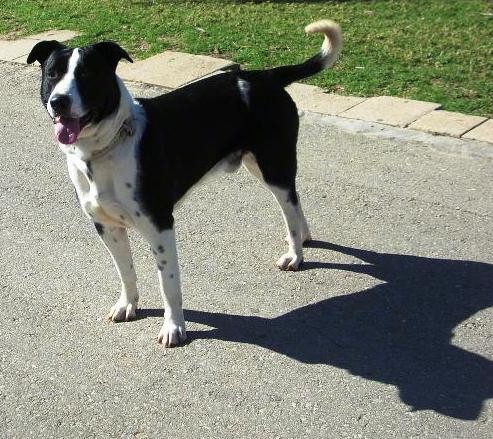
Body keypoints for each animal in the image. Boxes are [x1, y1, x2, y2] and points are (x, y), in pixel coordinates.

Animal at [27, 20, 342, 348]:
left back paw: (295, 253)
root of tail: (263, 76)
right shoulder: (107, 226)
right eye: (53, 74)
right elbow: (125, 271)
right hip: (257, 164)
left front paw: (174, 327)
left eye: (87, 74)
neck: (106, 148)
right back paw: (304, 237)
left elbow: (169, 285)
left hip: (273, 164)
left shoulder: (160, 226)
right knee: (294, 198)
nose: (59, 101)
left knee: (288, 206)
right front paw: (128, 305)